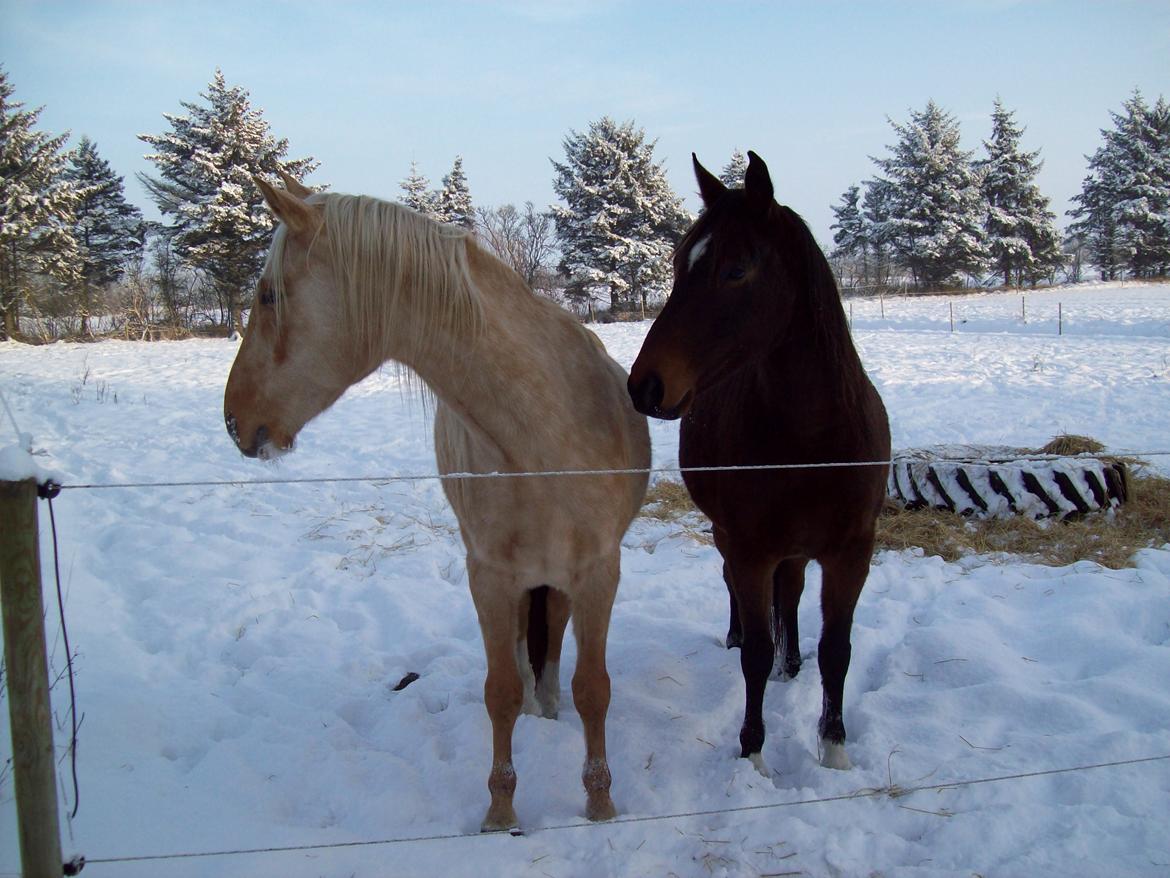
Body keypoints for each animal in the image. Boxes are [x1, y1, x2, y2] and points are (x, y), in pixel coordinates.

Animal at [223, 173, 655, 833]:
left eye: (270, 295)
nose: (234, 421)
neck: (542, 438)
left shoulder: (598, 571)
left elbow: (593, 688)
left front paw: (600, 803)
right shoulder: (490, 575)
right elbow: (499, 690)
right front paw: (500, 812)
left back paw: (548, 705)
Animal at [631, 153, 884, 777]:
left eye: (737, 270)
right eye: (679, 263)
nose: (645, 386)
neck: (812, 439)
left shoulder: (852, 551)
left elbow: (836, 649)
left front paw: (834, 749)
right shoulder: (748, 549)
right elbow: (754, 653)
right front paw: (753, 756)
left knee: (789, 593)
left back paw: (791, 664)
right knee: (743, 595)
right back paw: (739, 637)